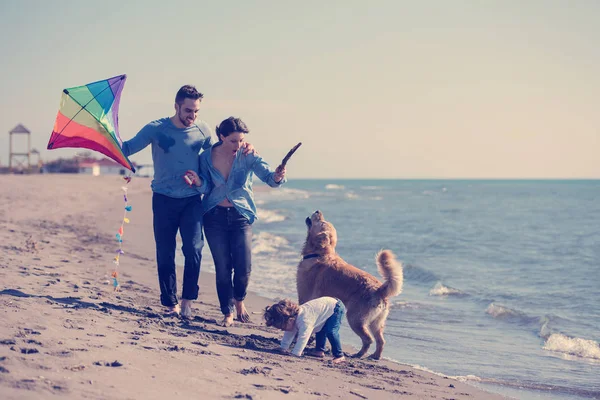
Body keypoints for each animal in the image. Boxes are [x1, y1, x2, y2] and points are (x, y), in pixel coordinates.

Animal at [296, 209, 404, 360]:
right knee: (381, 341)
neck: (319, 254)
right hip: (376, 323)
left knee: (368, 339)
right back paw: (375, 356)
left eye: (322, 221)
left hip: (355, 318)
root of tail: (380, 289)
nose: (318, 211)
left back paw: (358, 354)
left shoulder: (305, 296)